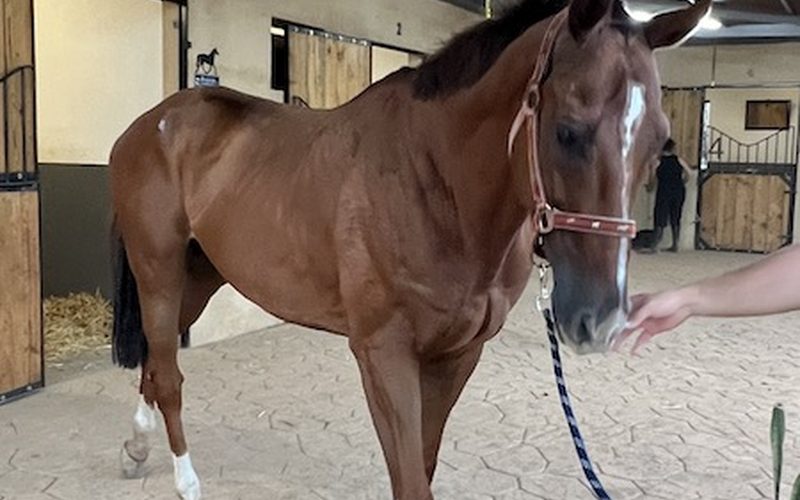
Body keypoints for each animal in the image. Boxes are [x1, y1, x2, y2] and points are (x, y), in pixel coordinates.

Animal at [109, 0, 711, 498]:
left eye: (658, 140)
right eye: (567, 131)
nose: (600, 319)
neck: (434, 181)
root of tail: (151, 124)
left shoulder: (458, 355)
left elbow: (422, 465)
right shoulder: (383, 355)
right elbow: (409, 478)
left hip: (200, 276)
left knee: (154, 361)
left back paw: (136, 449)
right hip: (159, 270)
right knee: (169, 374)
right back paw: (187, 483)